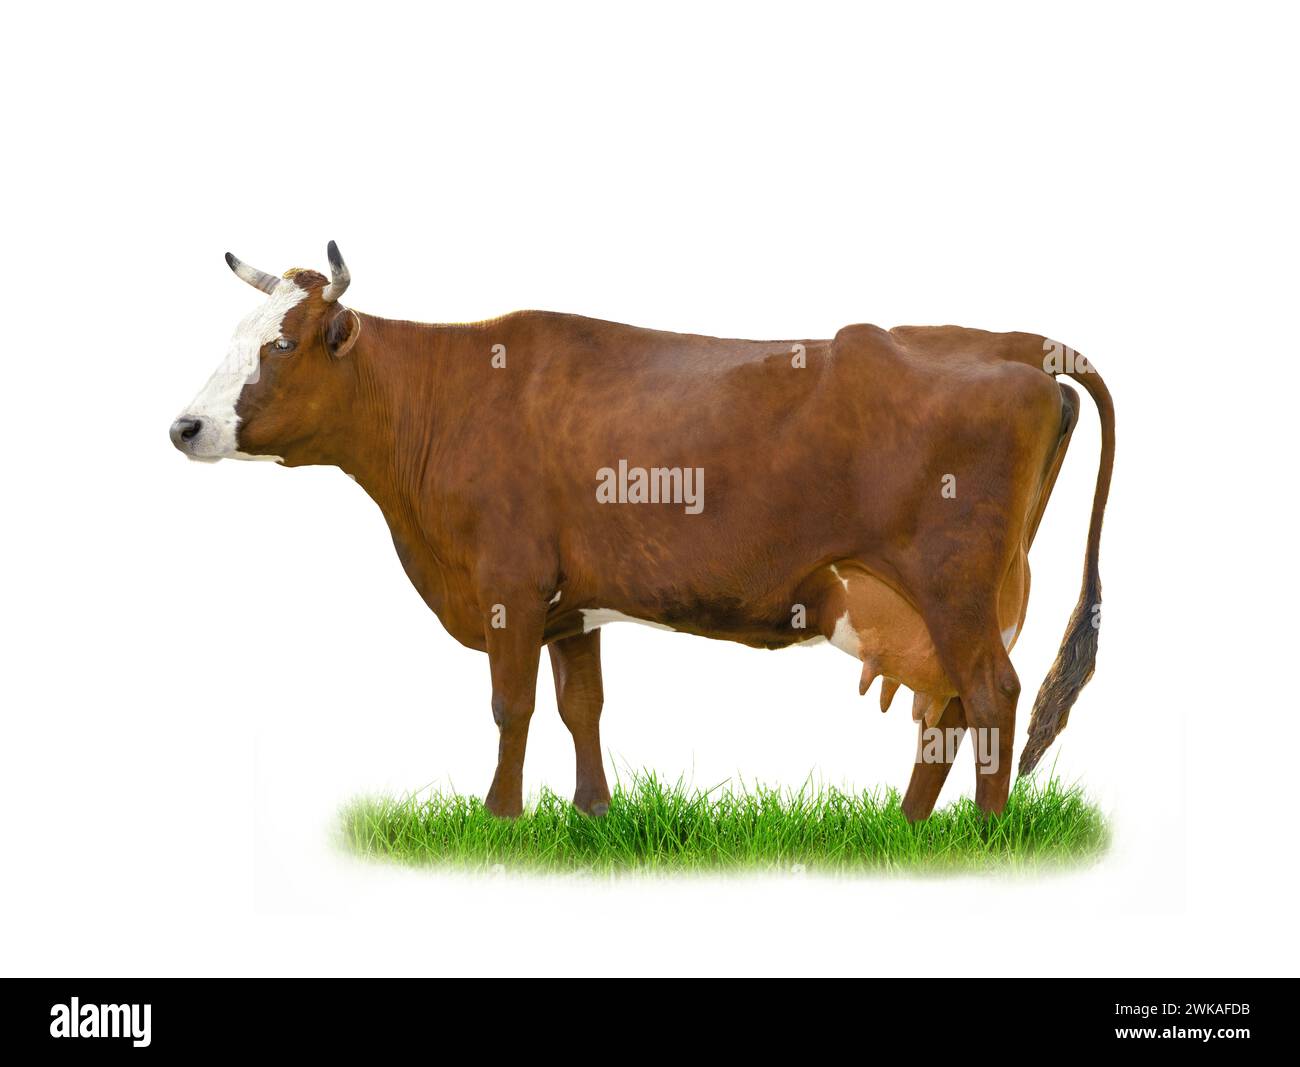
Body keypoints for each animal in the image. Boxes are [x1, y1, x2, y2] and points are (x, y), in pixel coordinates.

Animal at [171, 242, 1114, 821]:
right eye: (237, 336)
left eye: (282, 345)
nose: (185, 426)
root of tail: (1012, 341)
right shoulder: (569, 603)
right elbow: (580, 705)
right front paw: (591, 813)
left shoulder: (509, 583)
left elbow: (511, 704)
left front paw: (500, 818)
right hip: (954, 598)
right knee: (943, 707)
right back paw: (907, 830)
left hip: (955, 586)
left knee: (989, 695)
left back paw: (980, 837)